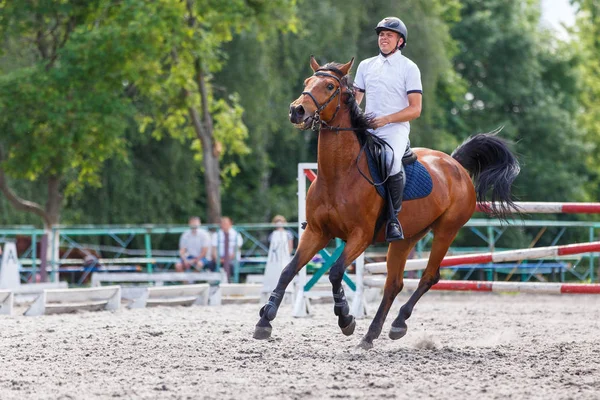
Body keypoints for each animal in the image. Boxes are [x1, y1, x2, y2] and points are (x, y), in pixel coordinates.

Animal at [251, 57, 516, 350]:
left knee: (429, 276)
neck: (339, 175)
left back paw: (397, 324)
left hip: (446, 231)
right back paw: (371, 334)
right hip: (406, 238)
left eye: (330, 86)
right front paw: (265, 320)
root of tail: (455, 163)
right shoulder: (317, 232)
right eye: (307, 82)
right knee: (394, 284)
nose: (296, 111)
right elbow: (288, 270)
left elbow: (335, 272)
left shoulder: (361, 235)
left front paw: (346, 318)